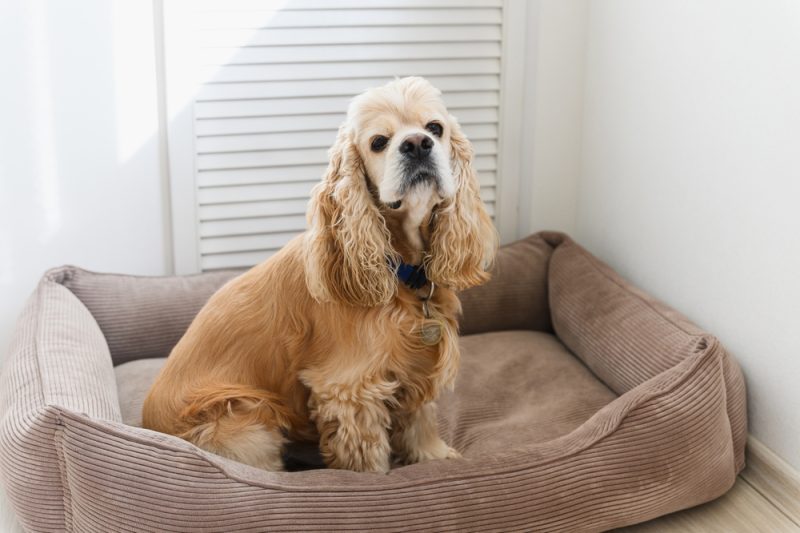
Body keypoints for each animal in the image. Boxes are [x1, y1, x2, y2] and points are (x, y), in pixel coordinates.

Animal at [141, 76, 496, 470]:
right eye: (378, 142)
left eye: (435, 128)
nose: (417, 144)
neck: (402, 268)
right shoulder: (350, 390)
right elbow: (369, 457)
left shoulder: (415, 367)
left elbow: (420, 418)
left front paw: (433, 455)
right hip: (248, 424)